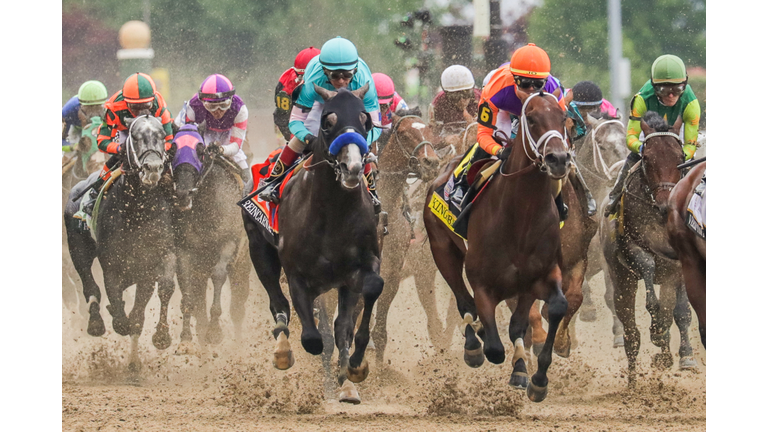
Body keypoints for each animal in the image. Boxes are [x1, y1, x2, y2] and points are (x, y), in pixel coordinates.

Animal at [64, 115, 176, 378]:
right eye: (135, 137)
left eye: (161, 135)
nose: (153, 168)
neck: (137, 210)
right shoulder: (112, 265)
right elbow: (116, 304)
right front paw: (116, 318)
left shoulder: (153, 262)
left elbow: (140, 313)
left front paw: (159, 339)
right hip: (77, 249)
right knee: (90, 286)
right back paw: (96, 322)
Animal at [170, 125, 249, 352]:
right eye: (172, 150)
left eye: (201, 151)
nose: (183, 194)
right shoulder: (186, 251)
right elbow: (188, 294)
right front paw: (185, 338)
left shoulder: (229, 243)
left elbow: (219, 274)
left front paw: (215, 332)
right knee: (200, 313)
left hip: (243, 265)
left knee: (238, 308)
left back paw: (238, 347)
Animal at [242, 85, 382, 404]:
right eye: (327, 122)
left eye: (365, 120)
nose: (353, 167)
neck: (333, 211)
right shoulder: (297, 274)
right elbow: (312, 338)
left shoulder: (359, 267)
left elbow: (365, 298)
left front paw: (355, 367)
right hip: (259, 249)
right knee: (278, 304)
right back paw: (282, 349)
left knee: (339, 324)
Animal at [420, 93, 576, 404]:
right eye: (531, 118)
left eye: (564, 117)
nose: (559, 159)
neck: (522, 214)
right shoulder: (483, 282)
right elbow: (494, 346)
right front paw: (487, 343)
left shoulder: (538, 276)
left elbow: (549, 310)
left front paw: (535, 379)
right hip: (442, 249)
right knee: (464, 302)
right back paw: (472, 344)